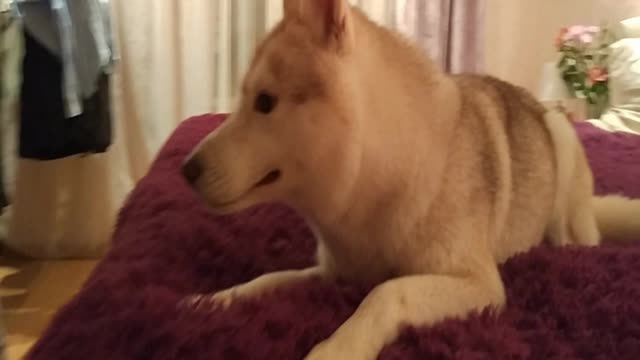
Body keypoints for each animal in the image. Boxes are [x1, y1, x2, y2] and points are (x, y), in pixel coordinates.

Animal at [181, 1, 640, 358]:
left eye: (265, 102)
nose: (186, 170)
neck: (377, 180)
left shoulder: (478, 286)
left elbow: (387, 293)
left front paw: (337, 348)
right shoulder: (332, 273)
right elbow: (268, 280)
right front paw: (217, 299)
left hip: (562, 151)